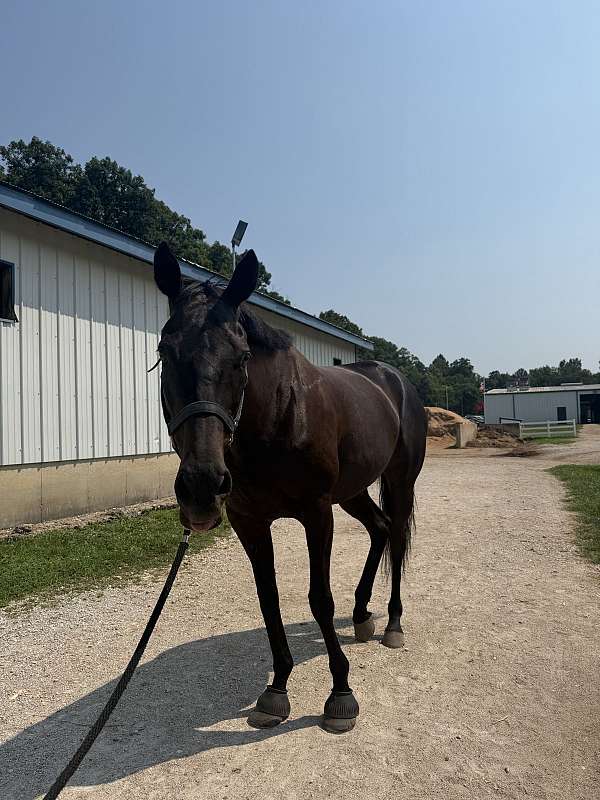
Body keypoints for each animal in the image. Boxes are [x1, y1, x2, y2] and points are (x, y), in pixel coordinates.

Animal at [153, 242, 427, 733]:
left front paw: (341, 693)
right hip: (353, 491)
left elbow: (319, 599)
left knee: (395, 536)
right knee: (378, 530)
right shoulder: (249, 521)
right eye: (166, 351)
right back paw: (362, 614)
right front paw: (277, 688)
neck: (279, 415)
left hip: (399, 480)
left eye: (242, 357)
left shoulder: (316, 513)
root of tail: (393, 379)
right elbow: (269, 599)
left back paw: (393, 624)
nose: (202, 486)